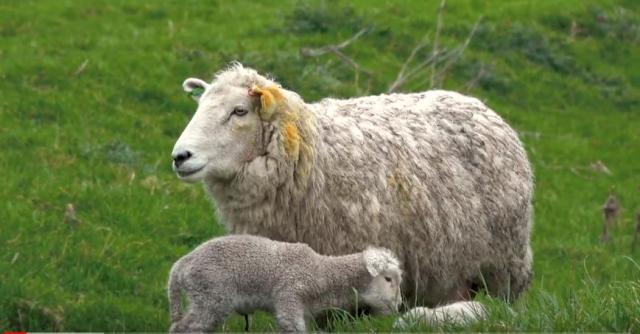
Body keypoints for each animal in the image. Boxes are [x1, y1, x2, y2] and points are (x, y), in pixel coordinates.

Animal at [168, 234, 402, 332]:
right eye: (388, 279)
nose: (398, 304)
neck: (320, 271)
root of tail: (180, 266)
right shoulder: (289, 296)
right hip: (211, 297)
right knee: (185, 327)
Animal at [171, 62, 536, 316]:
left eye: (239, 111)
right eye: (199, 107)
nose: (180, 156)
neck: (310, 151)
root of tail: (478, 105)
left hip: (503, 264)